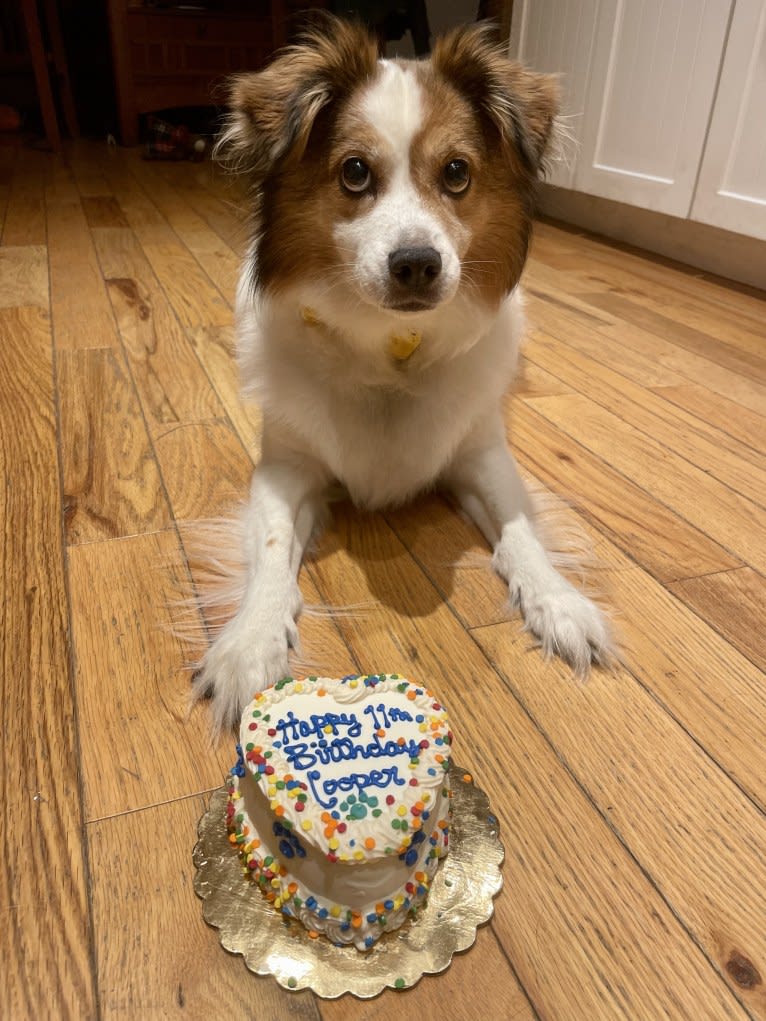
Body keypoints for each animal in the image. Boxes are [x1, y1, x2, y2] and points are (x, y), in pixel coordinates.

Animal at [196, 17, 612, 735]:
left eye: (457, 173)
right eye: (355, 172)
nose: (417, 264)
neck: (391, 349)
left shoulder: (480, 454)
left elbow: (520, 531)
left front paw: (558, 602)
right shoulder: (285, 467)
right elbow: (273, 546)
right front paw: (250, 641)